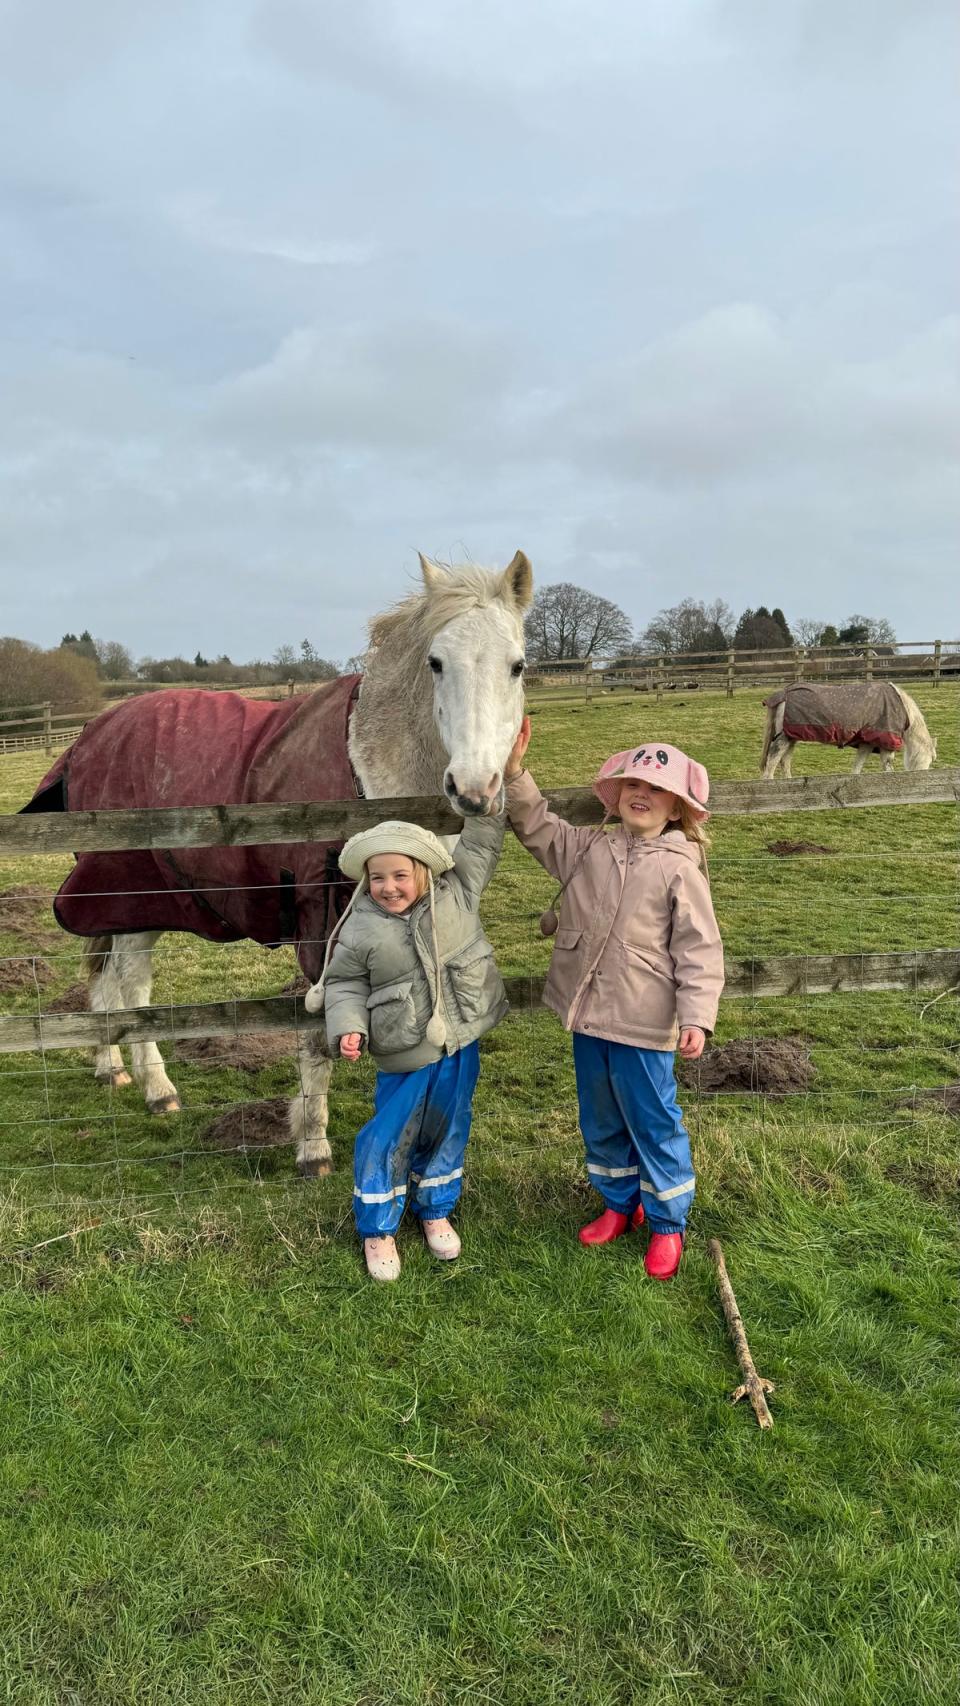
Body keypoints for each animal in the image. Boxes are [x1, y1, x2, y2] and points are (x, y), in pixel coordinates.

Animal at [24, 556, 532, 1173]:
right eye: (435, 663)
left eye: (517, 666)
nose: (475, 789)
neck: (369, 773)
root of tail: (92, 734)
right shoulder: (321, 920)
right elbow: (317, 1033)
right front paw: (312, 1145)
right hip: (131, 893)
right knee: (130, 982)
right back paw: (158, 1089)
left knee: (106, 975)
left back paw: (111, 1066)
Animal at [767, 682, 941, 781]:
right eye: (932, 758)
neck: (901, 707)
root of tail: (784, 694)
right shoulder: (885, 743)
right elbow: (887, 765)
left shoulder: (867, 742)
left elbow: (858, 764)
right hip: (784, 738)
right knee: (773, 759)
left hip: (791, 737)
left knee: (784, 761)